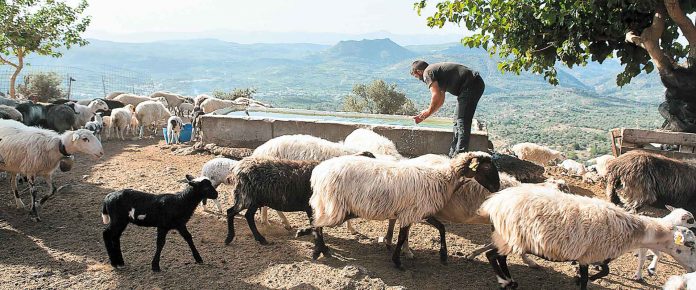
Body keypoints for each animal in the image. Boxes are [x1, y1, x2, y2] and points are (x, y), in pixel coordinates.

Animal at [308, 152, 498, 268]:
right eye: (487, 168)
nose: (496, 188)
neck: (443, 178)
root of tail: (318, 171)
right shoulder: (411, 213)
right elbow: (401, 238)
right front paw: (397, 262)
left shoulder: (420, 213)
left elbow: (441, 228)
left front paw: (443, 256)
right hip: (333, 206)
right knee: (317, 224)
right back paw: (319, 251)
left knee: (317, 223)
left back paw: (322, 249)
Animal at [482, 186, 696, 290]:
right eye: (690, 244)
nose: (693, 269)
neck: (635, 231)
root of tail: (494, 201)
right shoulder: (588, 255)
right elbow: (590, 278)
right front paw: (580, 279)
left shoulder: (597, 255)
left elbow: (604, 271)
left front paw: (579, 277)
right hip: (511, 237)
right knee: (492, 256)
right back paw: (505, 282)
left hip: (509, 238)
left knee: (500, 257)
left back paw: (510, 280)